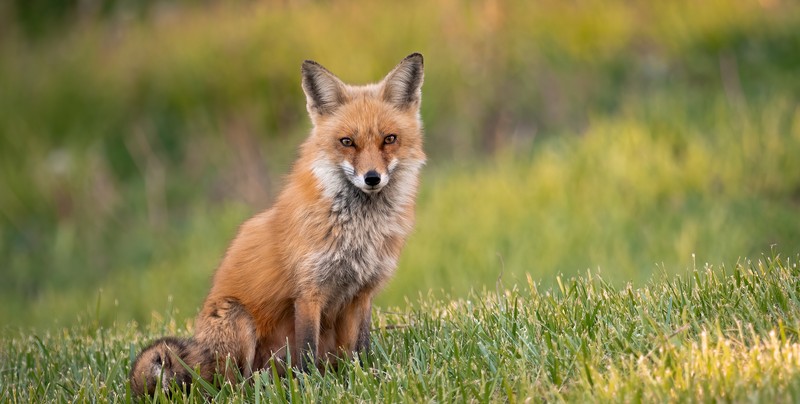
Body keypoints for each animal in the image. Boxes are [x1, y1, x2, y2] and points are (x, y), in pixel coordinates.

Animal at [132, 52, 428, 396]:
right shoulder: (309, 292)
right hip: (237, 321)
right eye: (347, 142)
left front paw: (368, 376)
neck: (358, 232)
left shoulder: (363, 293)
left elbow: (361, 349)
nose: (372, 178)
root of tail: (199, 358)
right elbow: (307, 352)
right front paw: (312, 388)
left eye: (389, 139)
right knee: (231, 385)